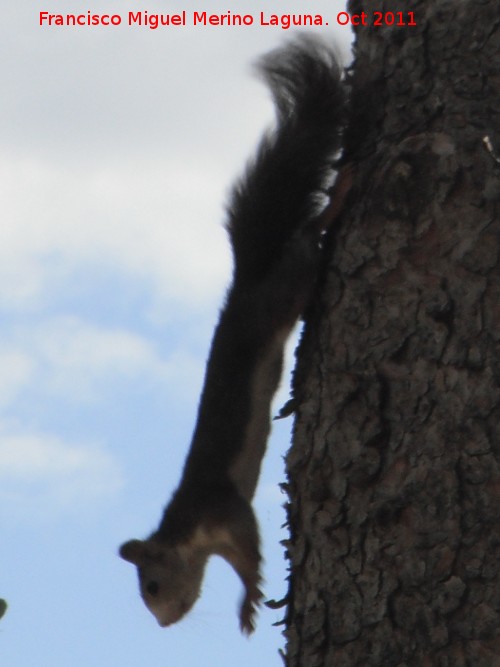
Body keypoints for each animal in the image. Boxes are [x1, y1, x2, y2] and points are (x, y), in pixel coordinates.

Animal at [119, 35, 350, 636]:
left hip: (283, 293)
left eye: (152, 586)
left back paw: (343, 193)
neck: (185, 531)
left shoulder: (223, 511)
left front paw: (249, 603)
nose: (163, 625)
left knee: (307, 240)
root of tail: (244, 282)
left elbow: (251, 554)